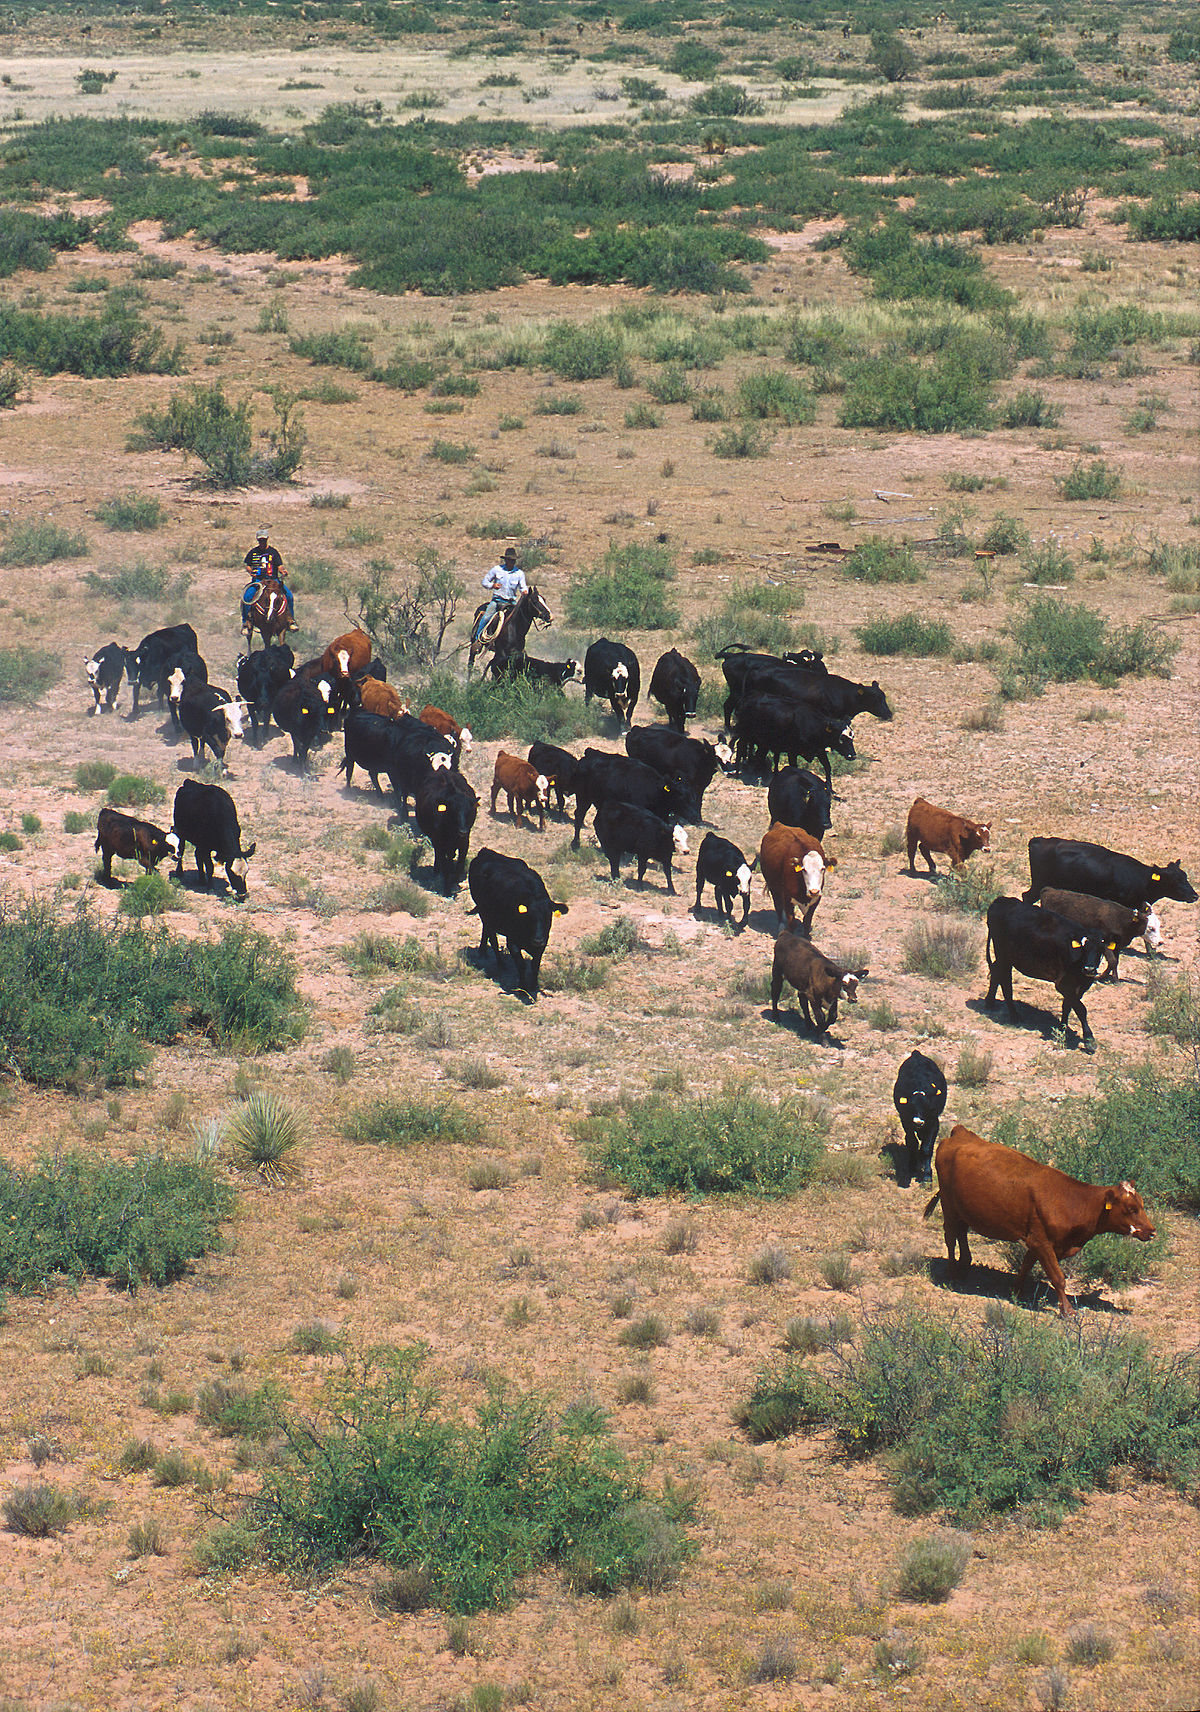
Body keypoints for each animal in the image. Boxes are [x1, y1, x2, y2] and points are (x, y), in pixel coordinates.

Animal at [467, 847, 568, 1002]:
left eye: (548, 916)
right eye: (529, 916)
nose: (537, 940)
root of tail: (486, 851)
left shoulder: (542, 944)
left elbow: (535, 964)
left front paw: (534, 985)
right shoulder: (512, 942)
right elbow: (521, 964)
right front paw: (522, 987)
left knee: (486, 931)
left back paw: (484, 952)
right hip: (484, 913)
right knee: (493, 938)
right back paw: (499, 962)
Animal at [892, 1050, 948, 1188]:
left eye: (928, 1107)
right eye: (911, 1107)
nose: (918, 1121)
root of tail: (916, 1054)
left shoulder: (934, 1123)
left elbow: (926, 1148)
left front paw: (927, 1176)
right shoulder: (906, 1120)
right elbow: (912, 1143)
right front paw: (912, 1167)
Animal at [925, 1124, 1155, 1317]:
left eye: (1142, 1205)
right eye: (1131, 1209)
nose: (1152, 1231)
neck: (1074, 1202)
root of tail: (960, 1132)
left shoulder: (1037, 1241)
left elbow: (1026, 1265)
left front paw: (1016, 1291)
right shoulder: (1041, 1241)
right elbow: (1058, 1278)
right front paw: (1068, 1311)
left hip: (963, 1209)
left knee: (961, 1232)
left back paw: (965, 1265)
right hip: (948, 1205)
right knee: (950, 1236)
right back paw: (952, 1273)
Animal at [984, 896, 1113, 1051]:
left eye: (1101, 949)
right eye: (1084, 948)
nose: (1089, 969)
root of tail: (1001, 899)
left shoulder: (1080, 986)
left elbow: (1067, 1006)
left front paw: (1062, 1029)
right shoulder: (1063, 984)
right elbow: (1081, 1009)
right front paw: (1089, 1039)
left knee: (996, 972)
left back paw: (990, 1002)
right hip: (1003, 955)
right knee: (1005, 981)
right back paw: (1014, 1015)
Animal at [1024, 837, 1197, 913]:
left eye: (1185, 877)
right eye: (1175, 880)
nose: (1195, 896)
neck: (1143, 880)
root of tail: (1039, 840)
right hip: (1039, 883)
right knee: (1027, 897)